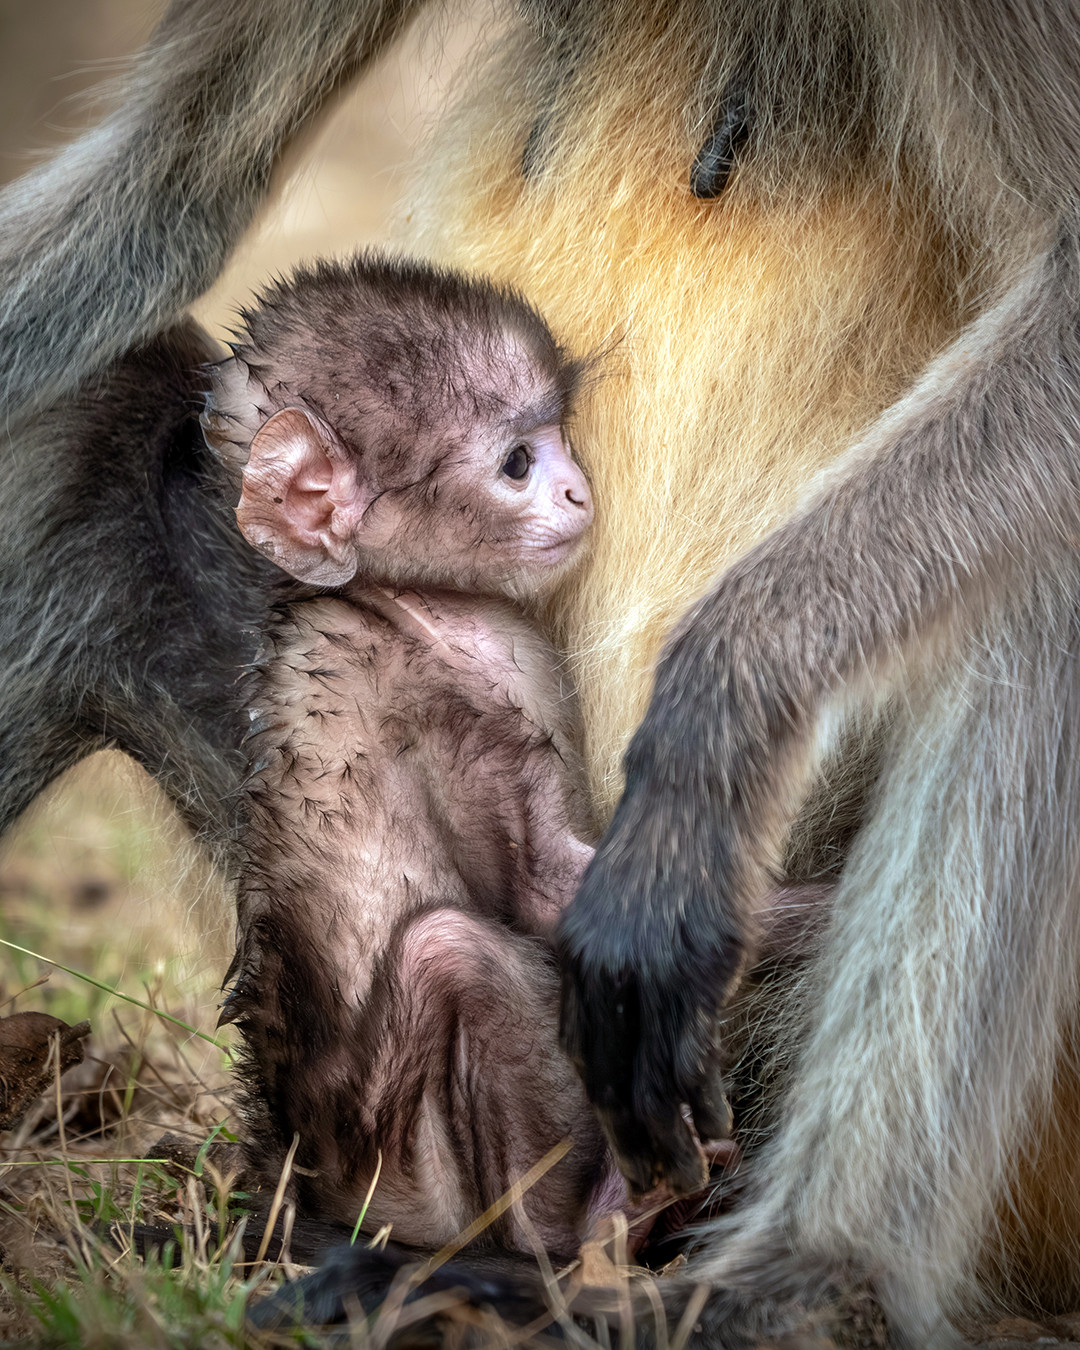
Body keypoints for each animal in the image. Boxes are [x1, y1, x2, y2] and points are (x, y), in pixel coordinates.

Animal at [5, 1, 1080, 1346]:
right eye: (514, 460)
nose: (571, 489)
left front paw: (708, 740)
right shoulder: (458, 711)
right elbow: (167, 187)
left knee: (1032, 582)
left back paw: (783, 1283)